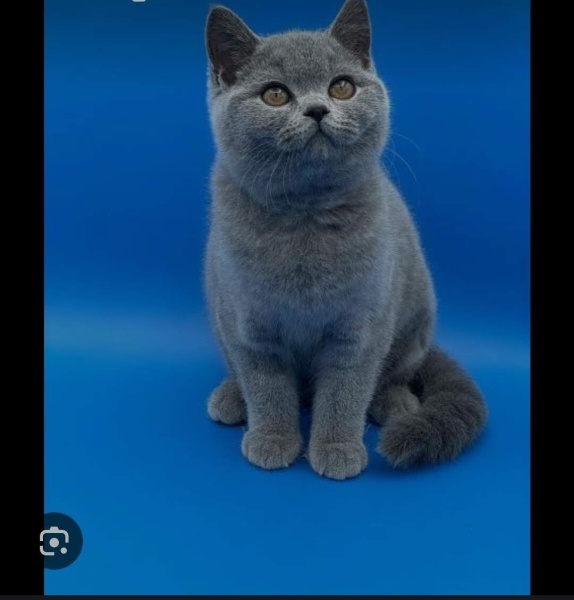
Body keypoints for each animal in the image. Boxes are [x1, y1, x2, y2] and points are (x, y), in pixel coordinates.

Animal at [205, 0, 488, 480]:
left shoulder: (360, 327)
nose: (318, 109)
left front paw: (336, 447)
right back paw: (231, 398)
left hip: (415, 319)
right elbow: (266, 387)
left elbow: (345, 390)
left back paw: (393, 401)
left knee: (394, 372)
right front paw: (272, 438)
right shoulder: (249, 326)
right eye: (275, 94)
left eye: (341, 87)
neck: (305, 215)